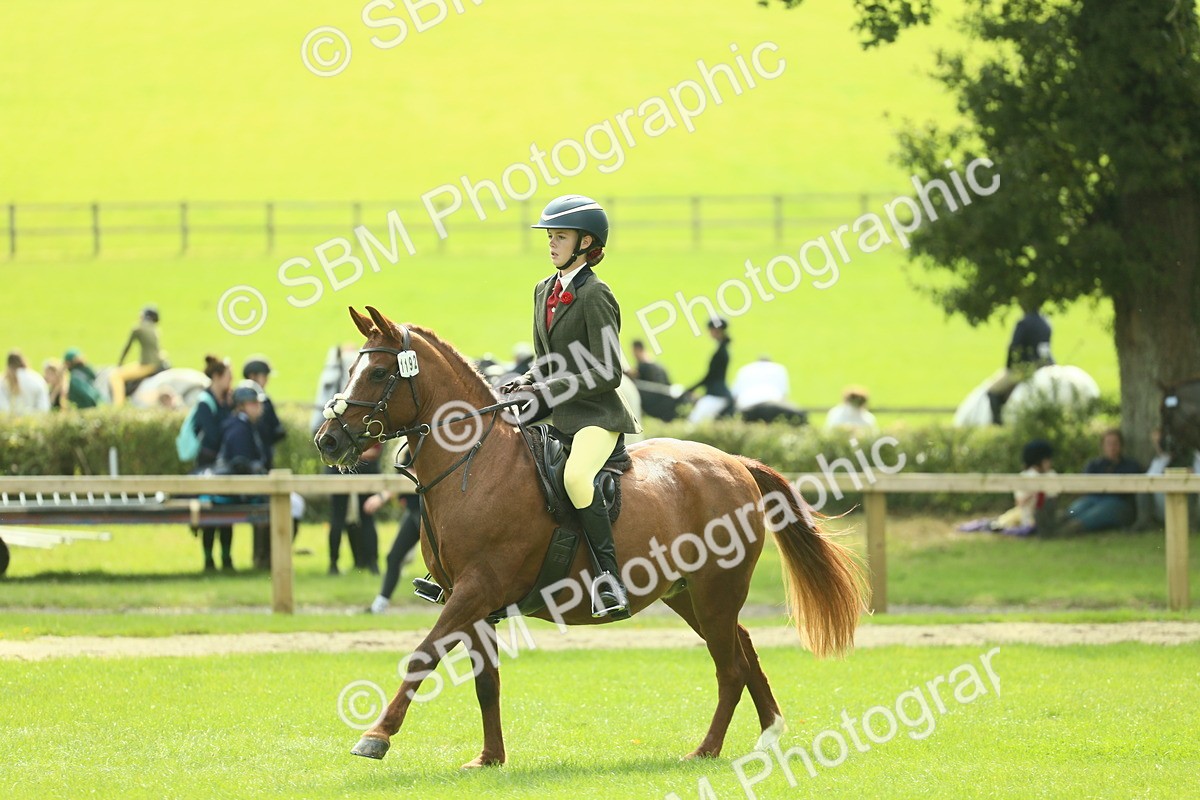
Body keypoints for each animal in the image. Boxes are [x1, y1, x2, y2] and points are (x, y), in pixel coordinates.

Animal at [314, 306, 868, 768]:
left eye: (379, 373)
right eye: (352, 371)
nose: (328, 440)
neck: (474, 463)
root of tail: (734, 462)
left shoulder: (476, 589)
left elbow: (422, 655)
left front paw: (376, 736)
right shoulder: (469, 600)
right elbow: (486, 681)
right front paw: (490, 758)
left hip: (716, 589)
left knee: (730, 665)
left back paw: (706, 750)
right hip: (687, 593)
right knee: (743, 647)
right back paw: (769, 733)